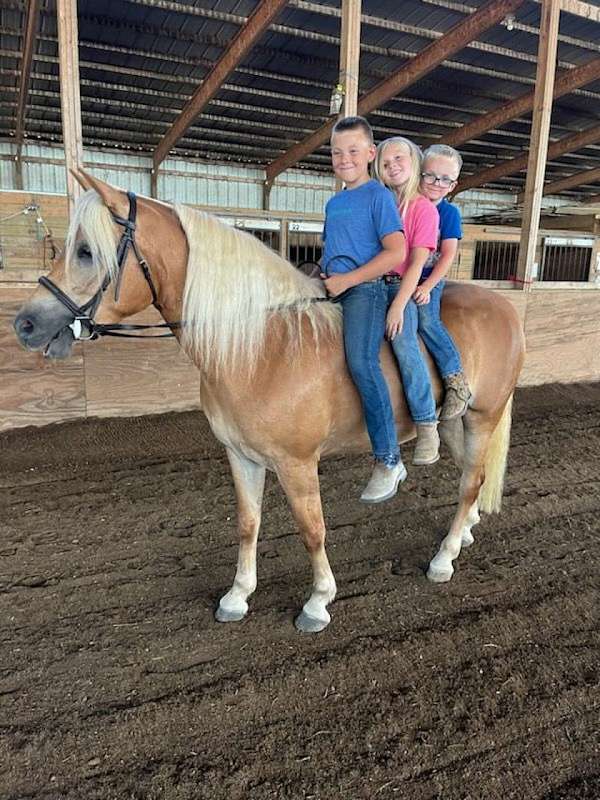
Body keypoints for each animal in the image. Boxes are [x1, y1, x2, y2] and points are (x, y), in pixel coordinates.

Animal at [14, 172, 524, 636]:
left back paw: (444, 558)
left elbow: (311, 528)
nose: (24, 324)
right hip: (455, 423)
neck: (262, 346)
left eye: (85, 251)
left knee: (469, 482)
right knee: (473, 476)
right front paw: (237, 596)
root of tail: (505, 308)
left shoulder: (297, 464)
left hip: (482, 417)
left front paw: (318, 602)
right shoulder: (240, 456)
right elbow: (247, 523)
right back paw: (465, 532)